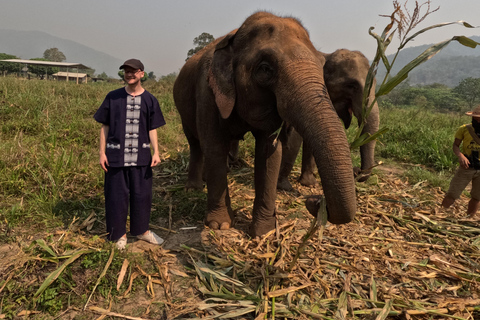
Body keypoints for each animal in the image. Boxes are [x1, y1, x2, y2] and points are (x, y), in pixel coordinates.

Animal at [172, 11, 356, 238]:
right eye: (265, 69)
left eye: (322, 66)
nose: (314, 200)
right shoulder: (206, 93)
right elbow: (213, 146)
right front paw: (219, 225)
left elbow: (269, 153)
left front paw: (264, 232)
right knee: (195, 143)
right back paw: (194, 188)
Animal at [278, 48, 378, 191]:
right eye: (351, 85)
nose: (356, 170)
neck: (327, 56)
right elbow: (295, 135)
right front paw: (284, 186)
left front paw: (309, 183)